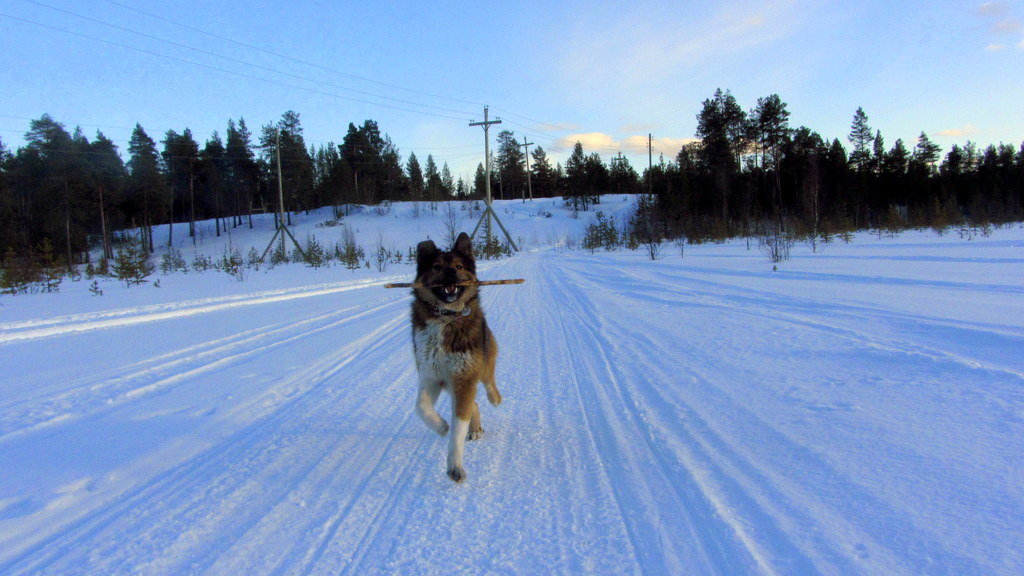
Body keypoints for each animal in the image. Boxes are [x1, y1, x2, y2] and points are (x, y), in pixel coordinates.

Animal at [409, 230, 501, 481]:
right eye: (437, 266)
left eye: (459, 266)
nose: (451, 272)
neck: (446, 317)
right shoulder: (431, 376)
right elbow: (420, 407)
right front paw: (441, 426)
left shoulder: (464, 377)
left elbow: (459, 426)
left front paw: (454, 465)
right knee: (474, 403)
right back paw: (474, 427)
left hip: (483, 362)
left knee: (488, 383)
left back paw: (495, 399)